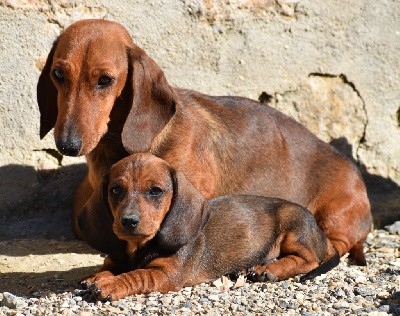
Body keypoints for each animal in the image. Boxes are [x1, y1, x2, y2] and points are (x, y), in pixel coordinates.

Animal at [79, 153, 340, 302]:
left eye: (155, 191)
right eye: (115, 190)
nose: (128, 221)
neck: (137, 246)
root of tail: (322, 236)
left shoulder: (165, 274)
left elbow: (136, 275)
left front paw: (111, 284)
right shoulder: (116, 259)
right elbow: (109, 268)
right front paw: (96, 277)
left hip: (292, 226)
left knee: (309, 259)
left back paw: (271, 269)